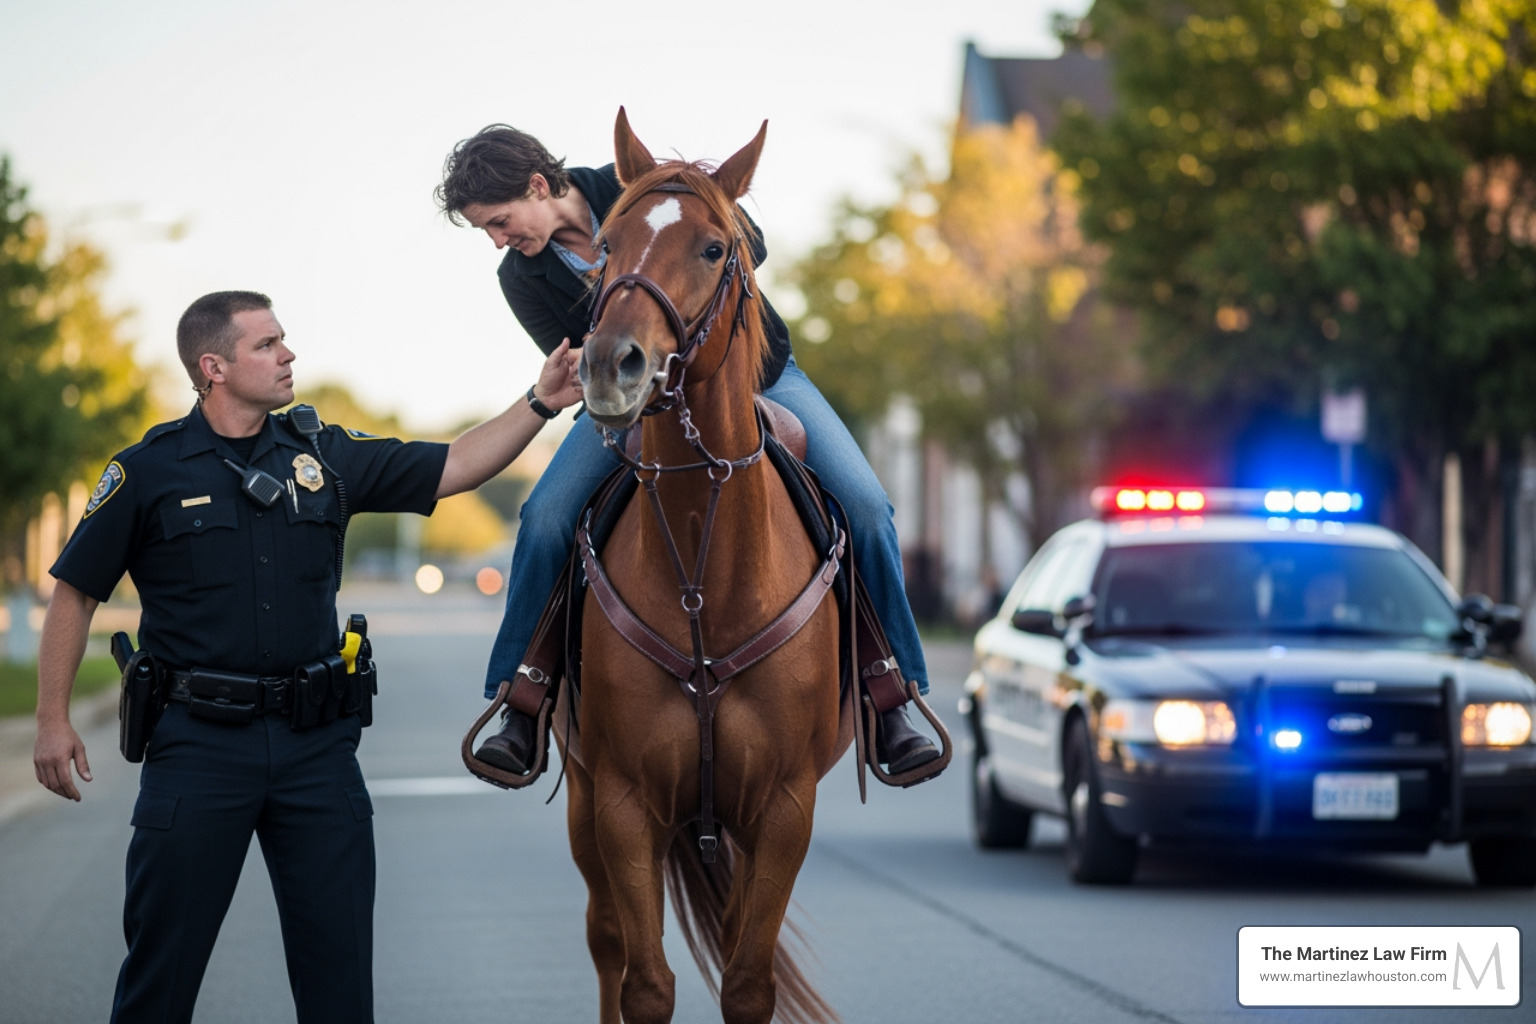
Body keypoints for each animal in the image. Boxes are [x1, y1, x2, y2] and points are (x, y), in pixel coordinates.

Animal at [569, 108, 846, 1024]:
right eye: (606, 245)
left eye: (715, 248)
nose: (608, 364)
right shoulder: (623, 802)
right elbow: (645, 981)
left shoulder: (783, 808)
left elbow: (748, 981)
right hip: (584, 797)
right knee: (607, 944)